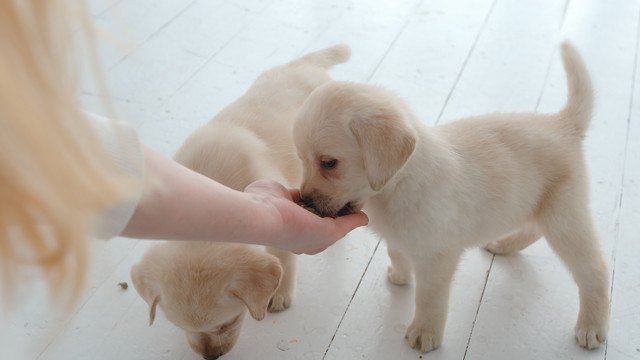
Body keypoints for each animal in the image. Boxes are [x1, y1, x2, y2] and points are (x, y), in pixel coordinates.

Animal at [130, 45, 350, 360]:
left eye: (229, 322)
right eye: (179, 326)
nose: (210, 357)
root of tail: (305, 64)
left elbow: (283, 258)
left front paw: (280, 292)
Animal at [292, 43, 608, 354]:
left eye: (329, 163)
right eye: (302, 161)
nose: (305, 201)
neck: (399, 185)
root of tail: (563, 124)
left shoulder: (438, 256)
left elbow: (429, 298)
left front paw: (425, 332)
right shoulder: (399, 237)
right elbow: (397, 251)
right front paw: (401, 274)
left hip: (564, 218)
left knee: (594, 271)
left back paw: (592, 326)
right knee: (532, 229)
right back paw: (505, 244)